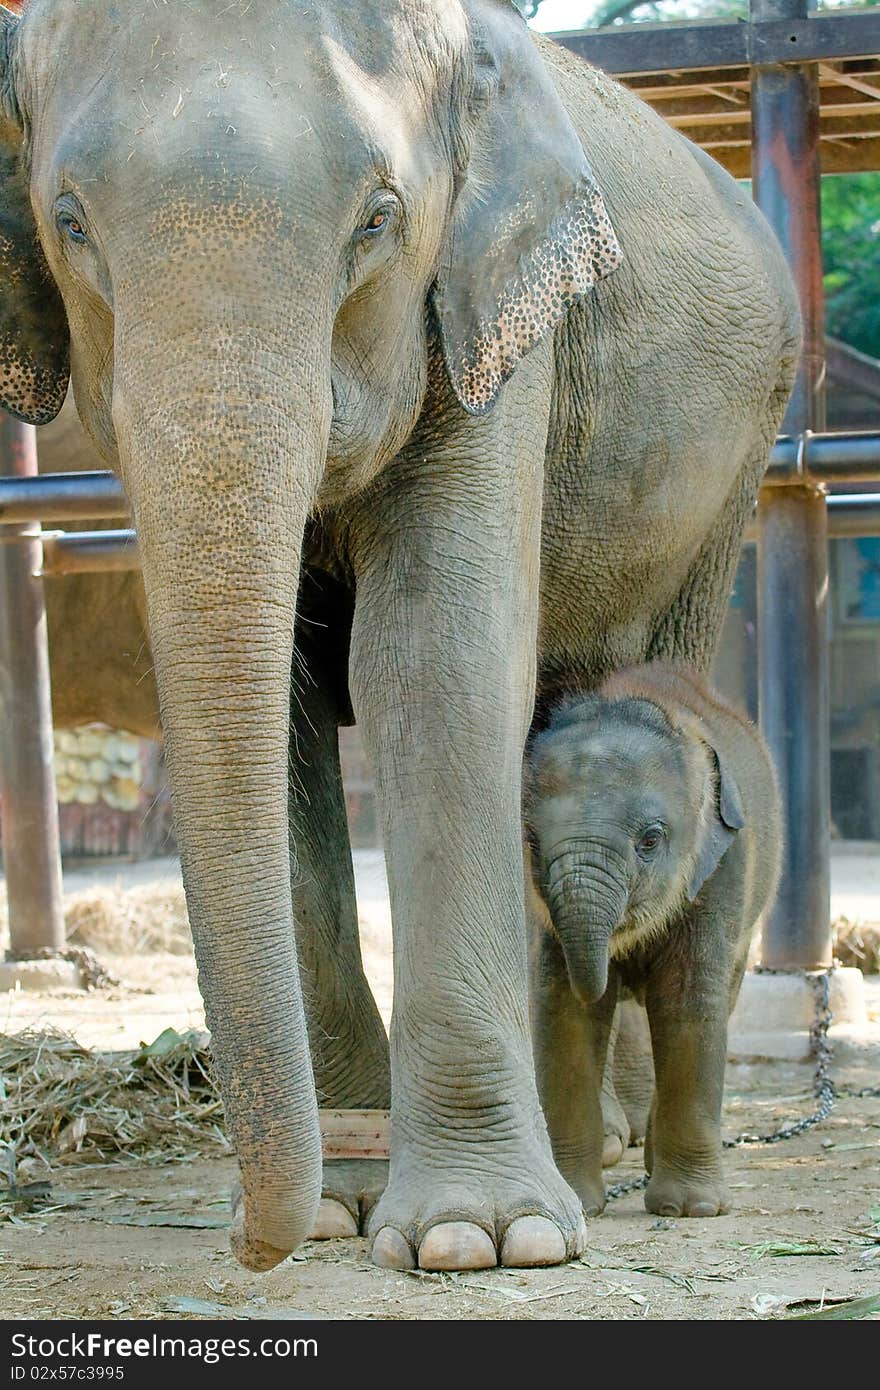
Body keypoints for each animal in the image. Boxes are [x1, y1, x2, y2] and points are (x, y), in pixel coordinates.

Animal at [522, 661, 772, 1217]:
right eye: (531, 840)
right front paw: (578, 1206)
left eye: (651, 840)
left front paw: (690, 1210)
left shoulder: (724, 868)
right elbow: (562, 1008)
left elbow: (687, 1001)